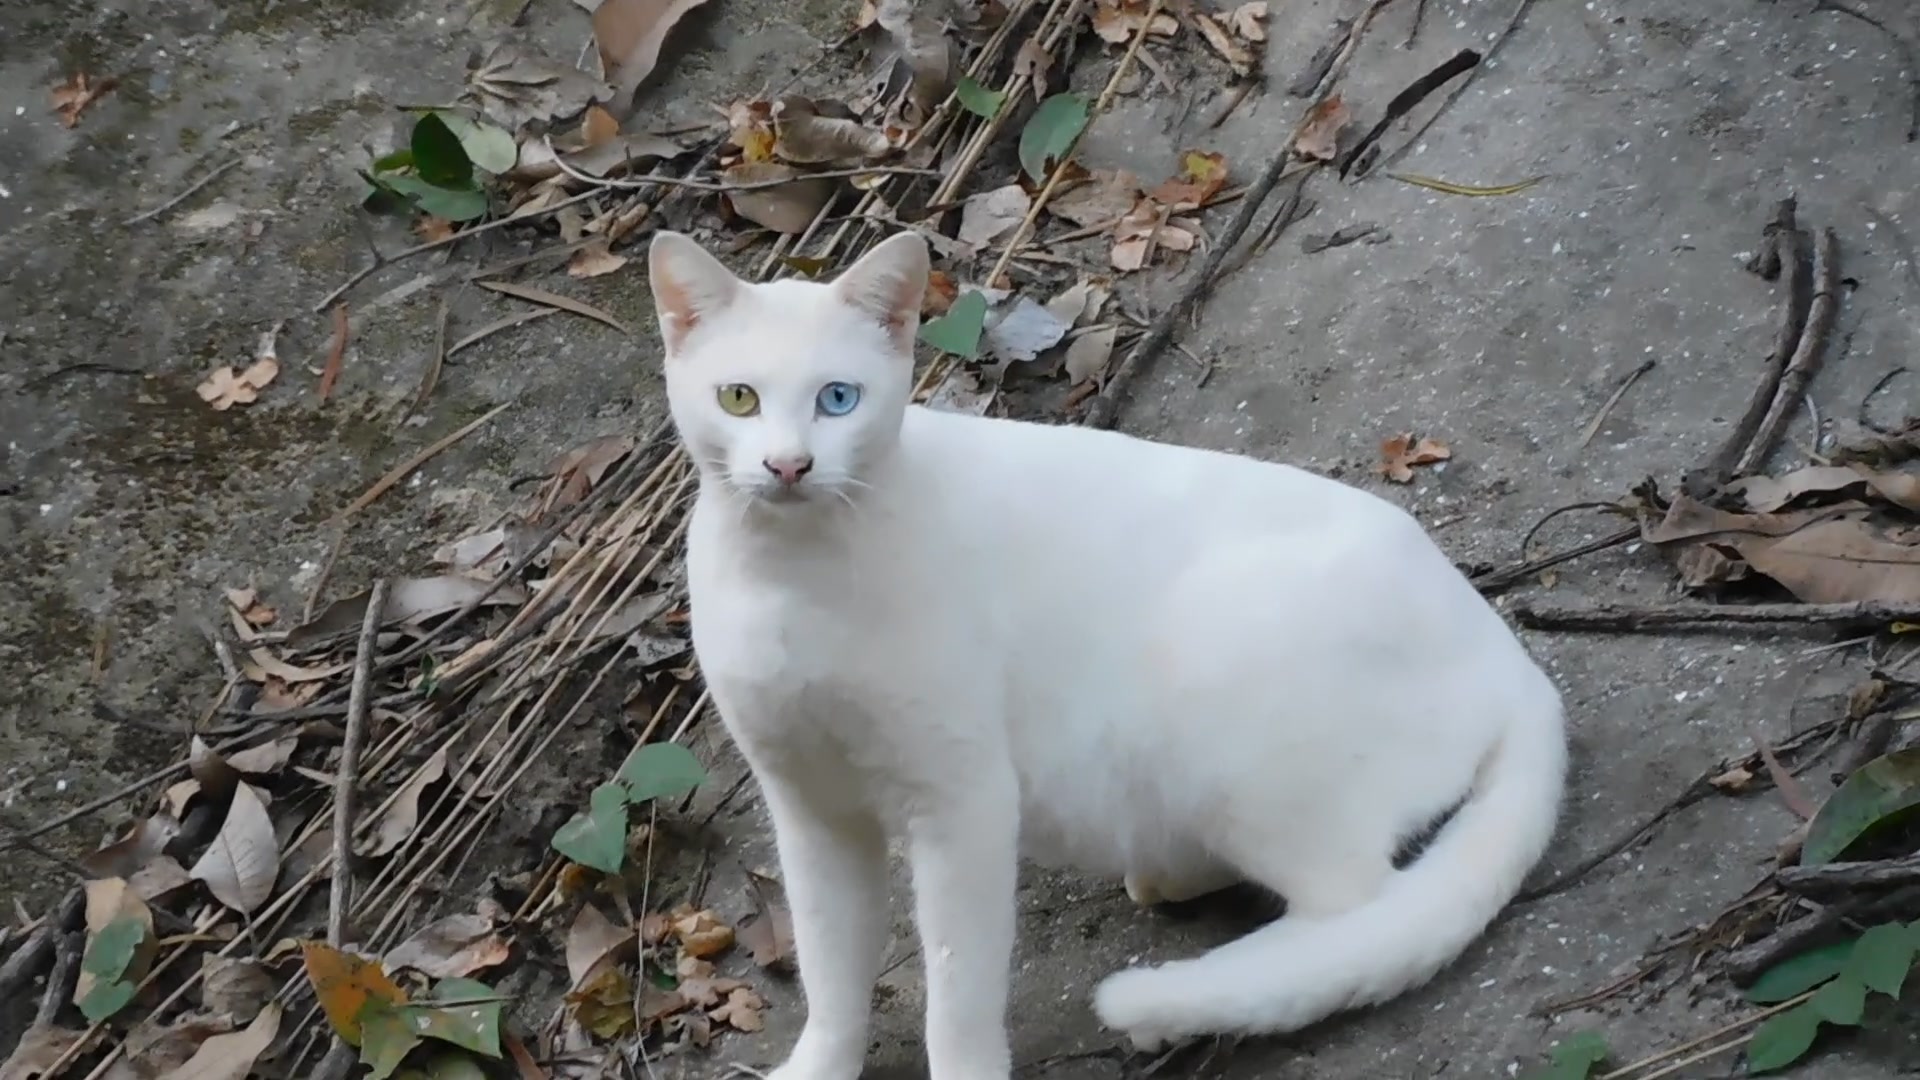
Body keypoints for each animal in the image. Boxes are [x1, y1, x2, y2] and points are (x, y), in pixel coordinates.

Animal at [652, 228, 1566, 1076]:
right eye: (739, 398)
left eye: (837, 399)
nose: (789, 464)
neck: (792, 583)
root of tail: (1510, 656)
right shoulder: (811, 811)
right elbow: (832, 971)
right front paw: (822, 1062)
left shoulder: (964, 802)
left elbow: (958, 990)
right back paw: (1166, 878)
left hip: (1216, 700)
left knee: (1354, 913)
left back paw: (1190, 999)